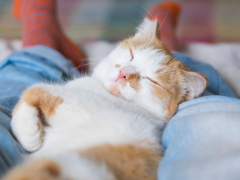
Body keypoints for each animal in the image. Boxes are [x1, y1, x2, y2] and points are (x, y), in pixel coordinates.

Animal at [2, 18, 207, 180]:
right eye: (131, 54)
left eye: (152, 80)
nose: (125, 73)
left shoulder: (76, 105)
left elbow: (35, 88)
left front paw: (28, 133)